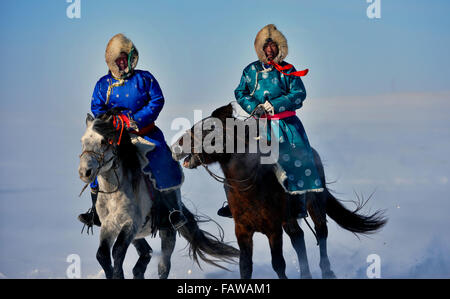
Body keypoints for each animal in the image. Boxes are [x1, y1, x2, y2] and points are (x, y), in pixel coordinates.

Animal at [171, 104, 388, 280]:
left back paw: (327, 272)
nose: (176, 145)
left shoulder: (273, 229)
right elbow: (245, 266)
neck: (250, 186)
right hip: (289, 218)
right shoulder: (242, 230)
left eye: (209, 129)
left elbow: (278, 264)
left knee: (321, 232)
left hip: (315, 205)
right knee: (298, 237)